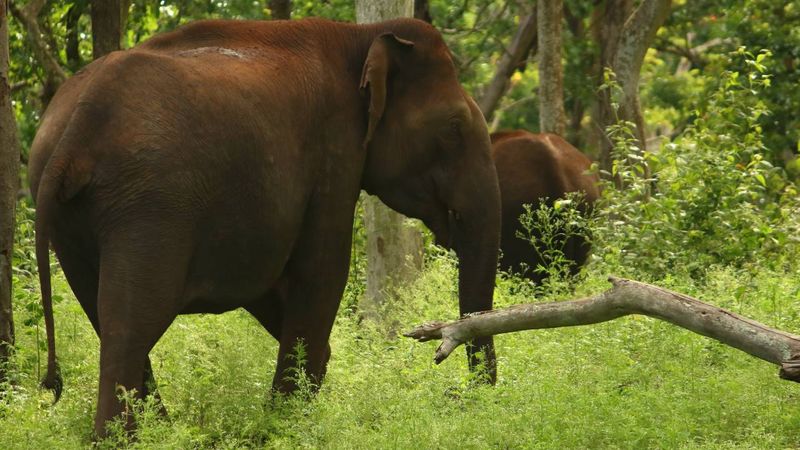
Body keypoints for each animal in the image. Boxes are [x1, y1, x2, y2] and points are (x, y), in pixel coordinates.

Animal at [29, 18, 500, 440]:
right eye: (454, 128)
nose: (464, 396)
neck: (360, 36)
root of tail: (73, 136)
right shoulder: (334, 150)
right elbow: (323, 270)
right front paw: (287, 425)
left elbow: (270, 284)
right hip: (150, 207)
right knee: (131, 323)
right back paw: (125, 438)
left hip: (78, 221)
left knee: (104, 314)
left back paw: (161, 431)